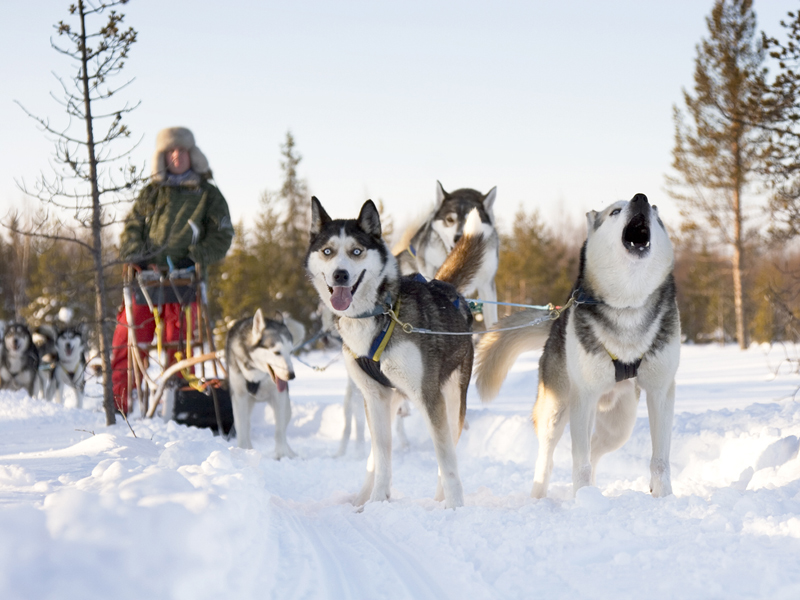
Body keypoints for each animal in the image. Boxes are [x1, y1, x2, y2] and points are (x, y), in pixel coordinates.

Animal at [225, 310, 296, 454]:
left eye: (290, 352)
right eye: (277, 352)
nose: (291, 375)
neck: (255, 375)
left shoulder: (279, 396)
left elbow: (280, 430)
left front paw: (282, 453)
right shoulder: (239, 397)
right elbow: (241, 429)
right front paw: (242, 452)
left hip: (286, 406)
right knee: (246, 425)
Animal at [304, 197, 484, 506]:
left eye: (356, 251)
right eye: (328, 251)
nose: (340, 275)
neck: (378, 314)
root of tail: (447, 288)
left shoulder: (430, 397)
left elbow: (447, 461)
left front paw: (454, 507)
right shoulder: (374, 397)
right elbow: (382, 460)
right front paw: (377, 502)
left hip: (452, 398)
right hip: (388, 401)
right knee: (375, 457)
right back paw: (362, 498)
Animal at [476, 195, 680, 500]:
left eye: (656, 214)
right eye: (615, 211)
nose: (641, 198)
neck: (628, 304)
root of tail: (557, 319)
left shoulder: (661, 392)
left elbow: (660, 461)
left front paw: (664, 497)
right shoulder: (583, 397)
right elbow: (578, 463)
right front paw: (582, 500)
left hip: (620, 423)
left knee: (595, 448)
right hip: (557, 410)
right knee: (547, 458)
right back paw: (541, 497)